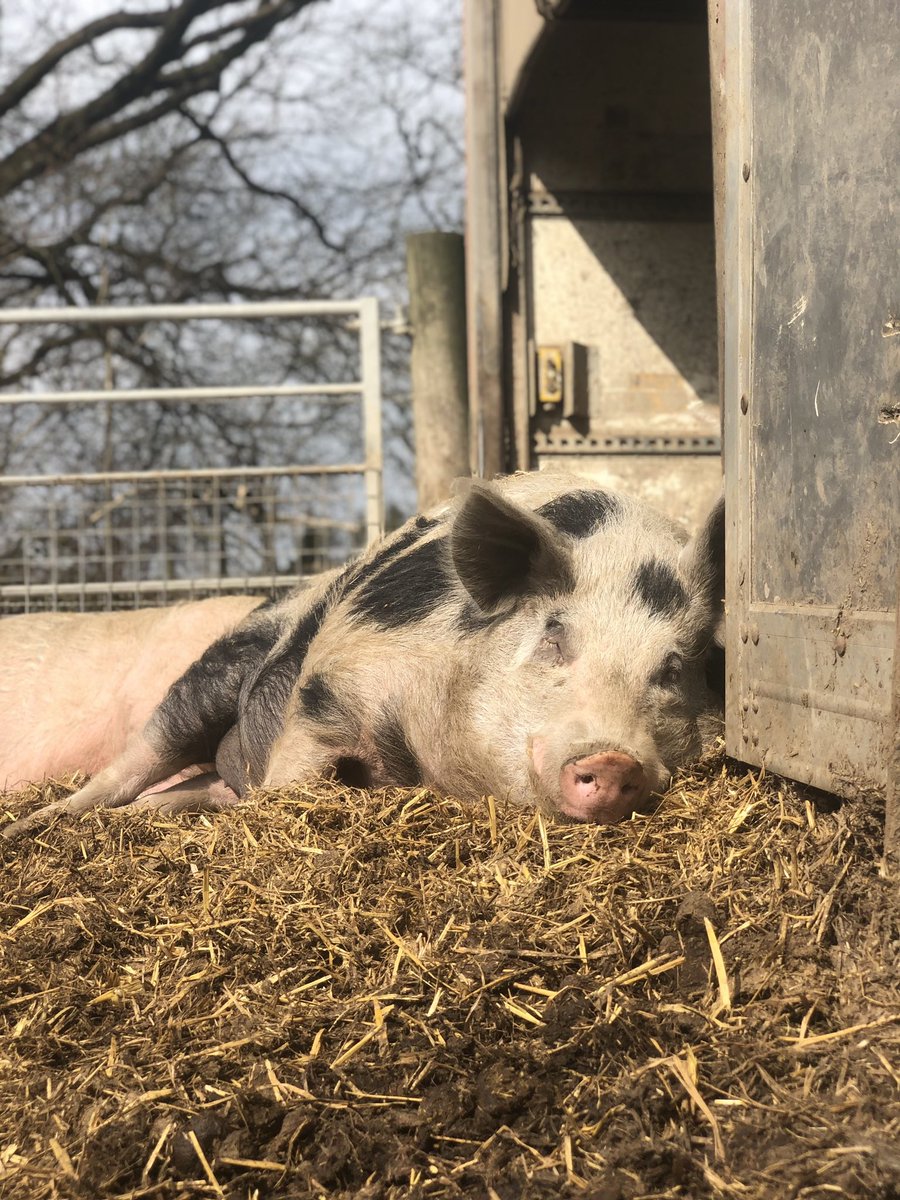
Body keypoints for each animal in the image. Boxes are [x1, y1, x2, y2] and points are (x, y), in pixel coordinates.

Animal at [1, 472, 724, 841]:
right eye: (553, 635)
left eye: (672, 669)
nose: (612, 758)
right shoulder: (329, 686)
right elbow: (296, 773)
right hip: (213, 673)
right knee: (137, 760)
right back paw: (37, 825)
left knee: (187, 789)